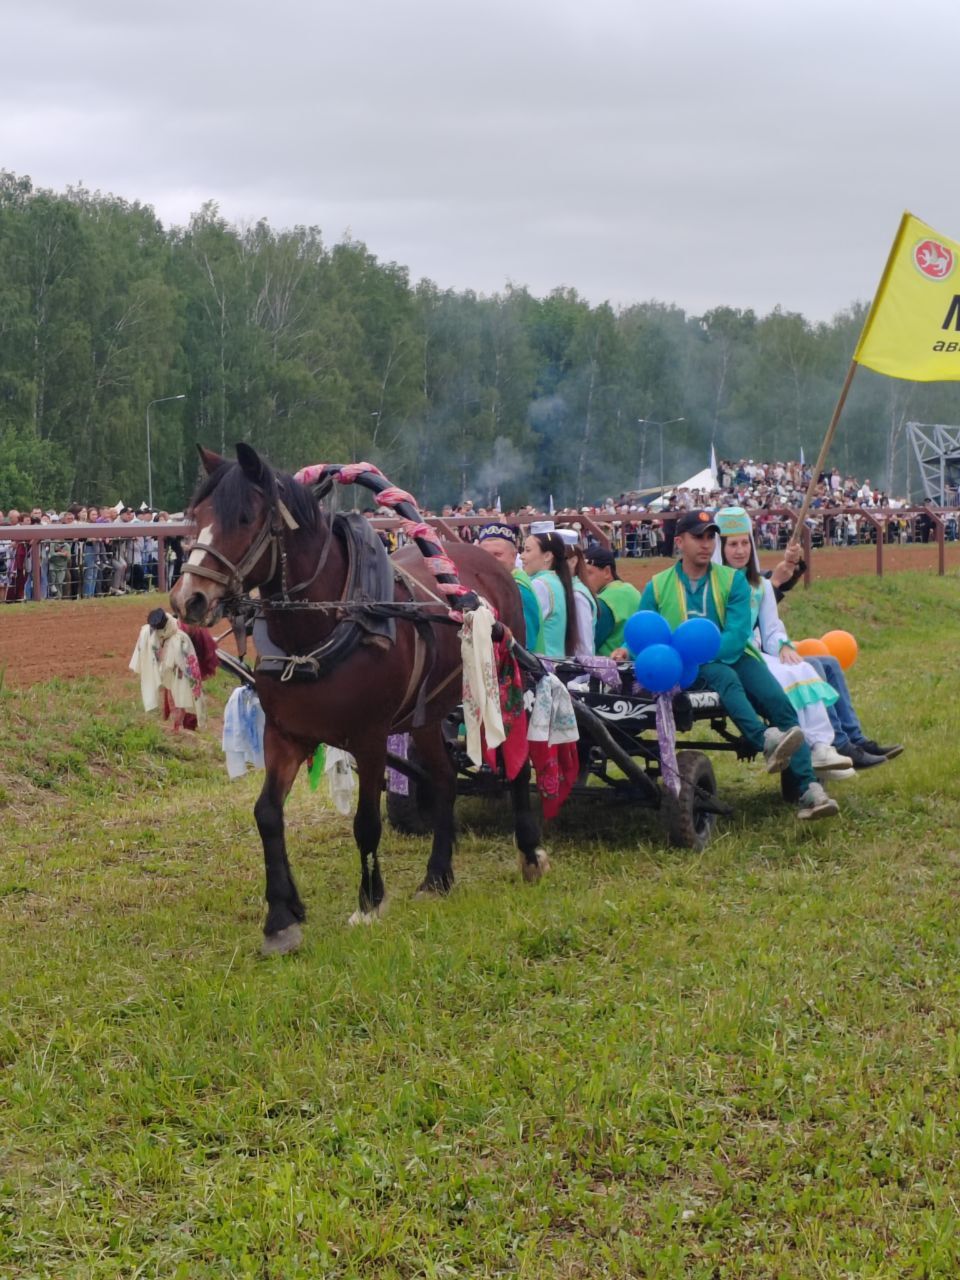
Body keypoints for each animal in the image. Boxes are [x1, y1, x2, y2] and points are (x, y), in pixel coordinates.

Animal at [168, 445, 547, 957]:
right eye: (199, 516)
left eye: (244, 517)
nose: (188, 598)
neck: (319, 627)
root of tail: (484, 561)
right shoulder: (285, 733)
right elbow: (267, 814)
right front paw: (282, 916)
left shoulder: (369, 737)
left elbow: (366, 822)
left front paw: (369, 902)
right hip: (425, 716)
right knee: (444, 780)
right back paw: (438, 875)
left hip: (501, 684)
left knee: (516, 764)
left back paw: (529, 851)